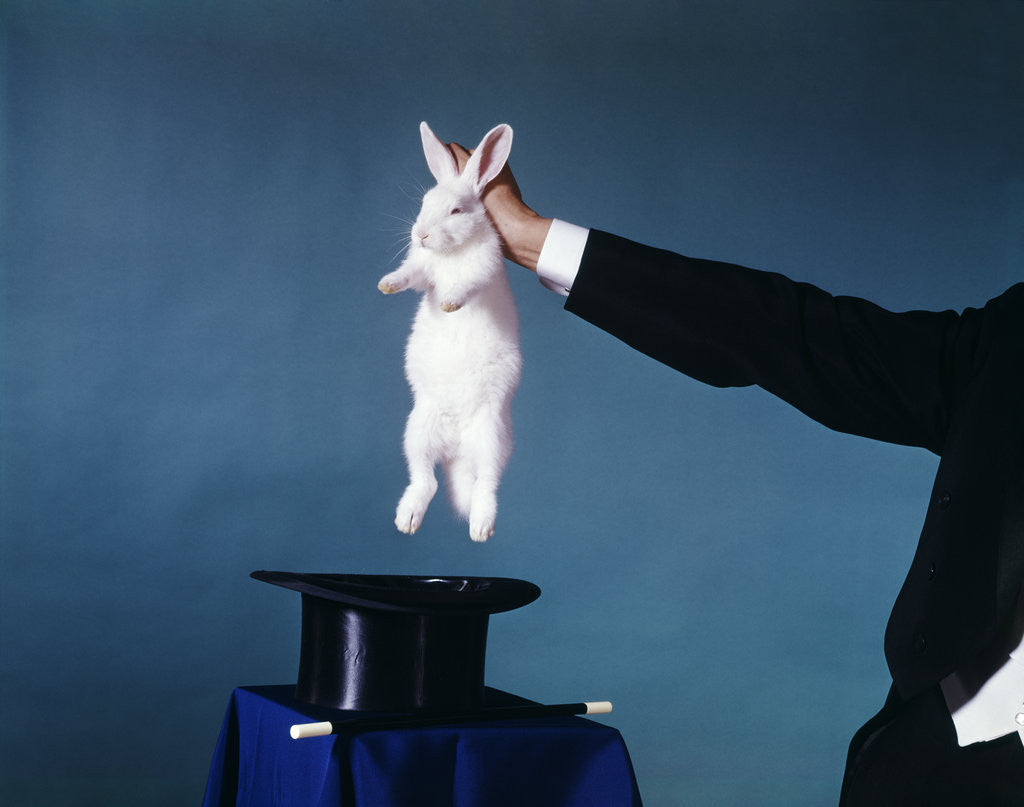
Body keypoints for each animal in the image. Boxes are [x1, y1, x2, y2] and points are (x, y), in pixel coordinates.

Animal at [378, 122, 521, 542]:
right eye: (424, 203)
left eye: (456, 210)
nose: (420, 234)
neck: (450, 253)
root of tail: (456, 445)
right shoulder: (422, 270)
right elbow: (410, 276)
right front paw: (386, 285)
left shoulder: (483, 268)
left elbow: (468, 285)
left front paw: (449, 304)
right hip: (417, 433)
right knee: (425, 481)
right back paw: (407, 520)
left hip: (491, 438)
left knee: (485, 485)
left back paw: (480, 527)